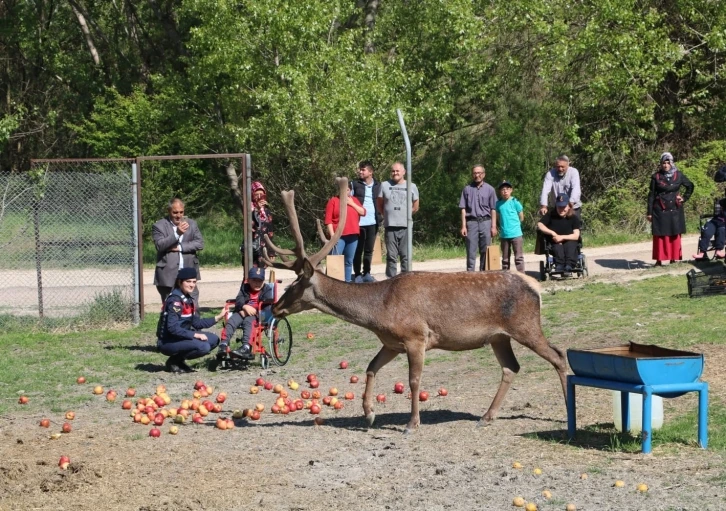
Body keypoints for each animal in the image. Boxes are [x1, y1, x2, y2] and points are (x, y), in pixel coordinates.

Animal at [264, 178, 572, 434]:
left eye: (292, 286)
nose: (275, 308)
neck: (379, 311)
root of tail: (535, 288)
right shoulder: (391, 343)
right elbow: (370, 367)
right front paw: (369, 414)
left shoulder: (416, 336)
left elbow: (414, 381)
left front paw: (412, 423)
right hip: (499, 336)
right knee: (511, 367)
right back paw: (487, 416)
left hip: (525, 324)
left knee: (558, 354)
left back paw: (566, 410)